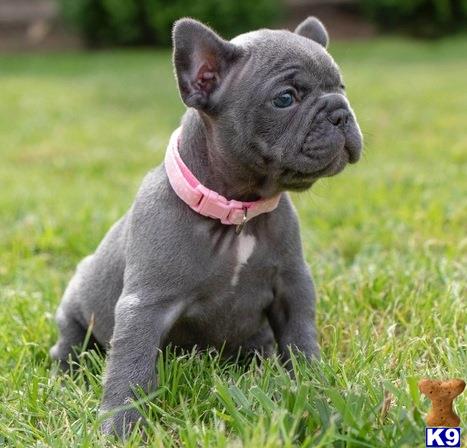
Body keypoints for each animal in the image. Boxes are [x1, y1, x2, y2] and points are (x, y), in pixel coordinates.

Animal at [52, 16, 366, 438]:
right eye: (285, 98)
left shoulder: (292, 286)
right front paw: (120, 426)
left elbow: (301, 339)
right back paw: (63, 372)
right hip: (75, 307)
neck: (237, 212)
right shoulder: (145, 305)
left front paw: (315, 385)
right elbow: (130, 367)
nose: (340, 112)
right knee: (69, 342)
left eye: (340, 88)